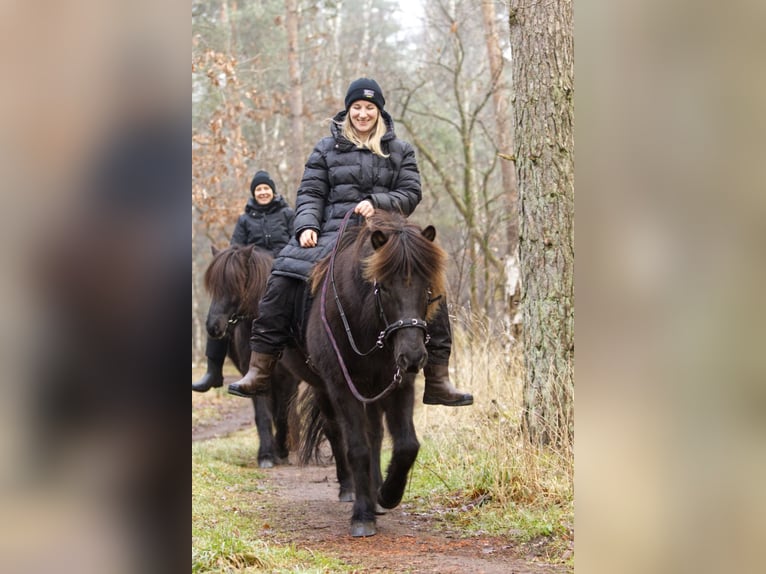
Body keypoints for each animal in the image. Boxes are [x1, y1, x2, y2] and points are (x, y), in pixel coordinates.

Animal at [201, 245, 300, 470]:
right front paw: (266, 455)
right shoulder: (252, 376)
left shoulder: (289, 379)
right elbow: (263, 415)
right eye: (213, 287)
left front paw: (282, 450)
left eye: (235, 285)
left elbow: (284, 413)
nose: (213, 327)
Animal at [294, 213, 450, 540]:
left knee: (376, 434)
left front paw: (388, 494)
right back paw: (350, 490)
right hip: (326, 390)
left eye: (427, 288)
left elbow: (406, 444)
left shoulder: (399, 384)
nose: (413, 356)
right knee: (337, 434)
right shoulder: (342, 386)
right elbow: (357, 447)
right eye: (385, 287)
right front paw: (362, 515)